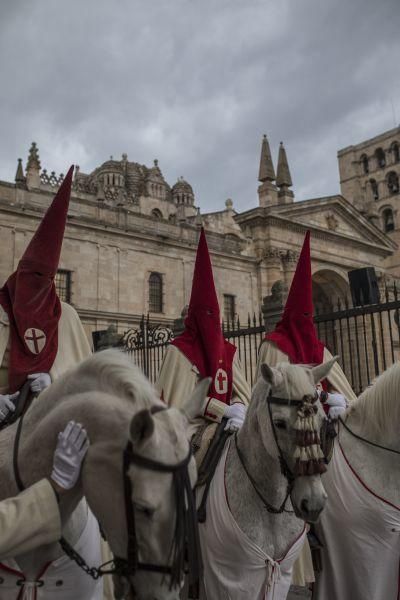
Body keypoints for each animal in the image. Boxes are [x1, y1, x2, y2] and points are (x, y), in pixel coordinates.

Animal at [186, 358, 336, 596]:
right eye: (280, 423)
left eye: (322, 419)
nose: (313, 503)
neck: (270, 506)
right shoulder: (230, 579)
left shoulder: (279, 572)